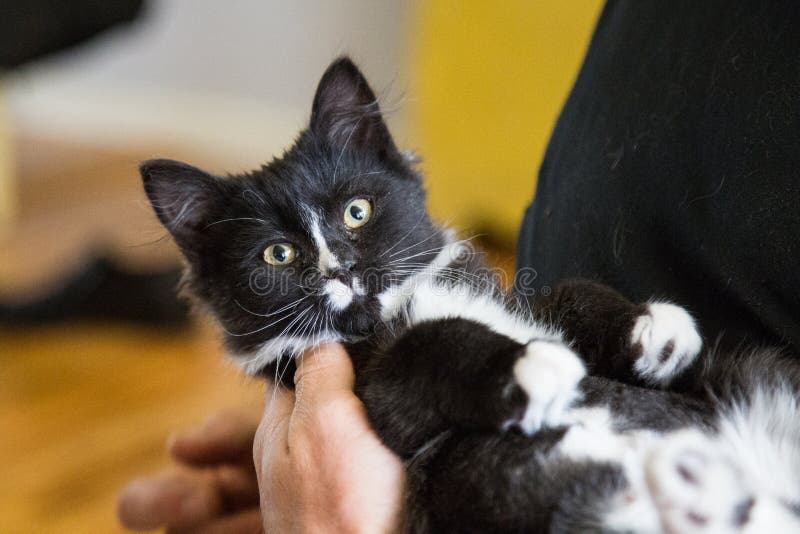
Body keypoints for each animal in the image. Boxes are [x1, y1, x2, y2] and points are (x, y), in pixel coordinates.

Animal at [141, 56, 800, 532]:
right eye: (277, 255)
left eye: (357, 211)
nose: (340, 270)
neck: (399, 303)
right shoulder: (380, 400)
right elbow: (430, 345)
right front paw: (528, 365)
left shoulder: (518, 301)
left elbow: (568, 294)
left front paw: (652, 330)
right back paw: (696, 485)